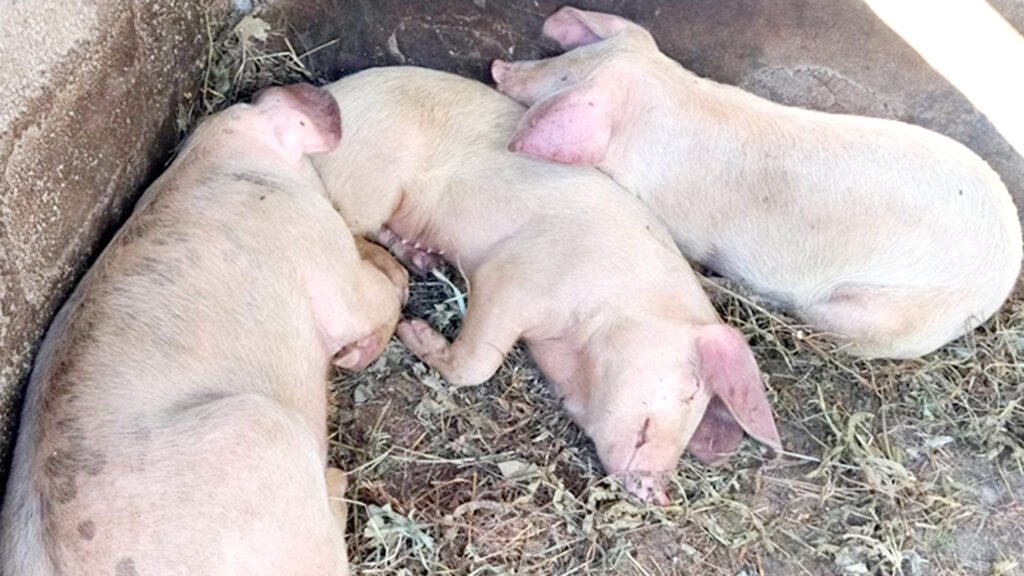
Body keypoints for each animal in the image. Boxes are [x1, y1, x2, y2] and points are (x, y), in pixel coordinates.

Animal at [312, 66, 781, 504]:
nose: (660, 493)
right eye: (692, 390)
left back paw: (424, 259)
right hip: (371, 178)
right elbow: (477, 364)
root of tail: (334, 92)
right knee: (345, 226)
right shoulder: (514, 274)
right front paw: (414, 330)